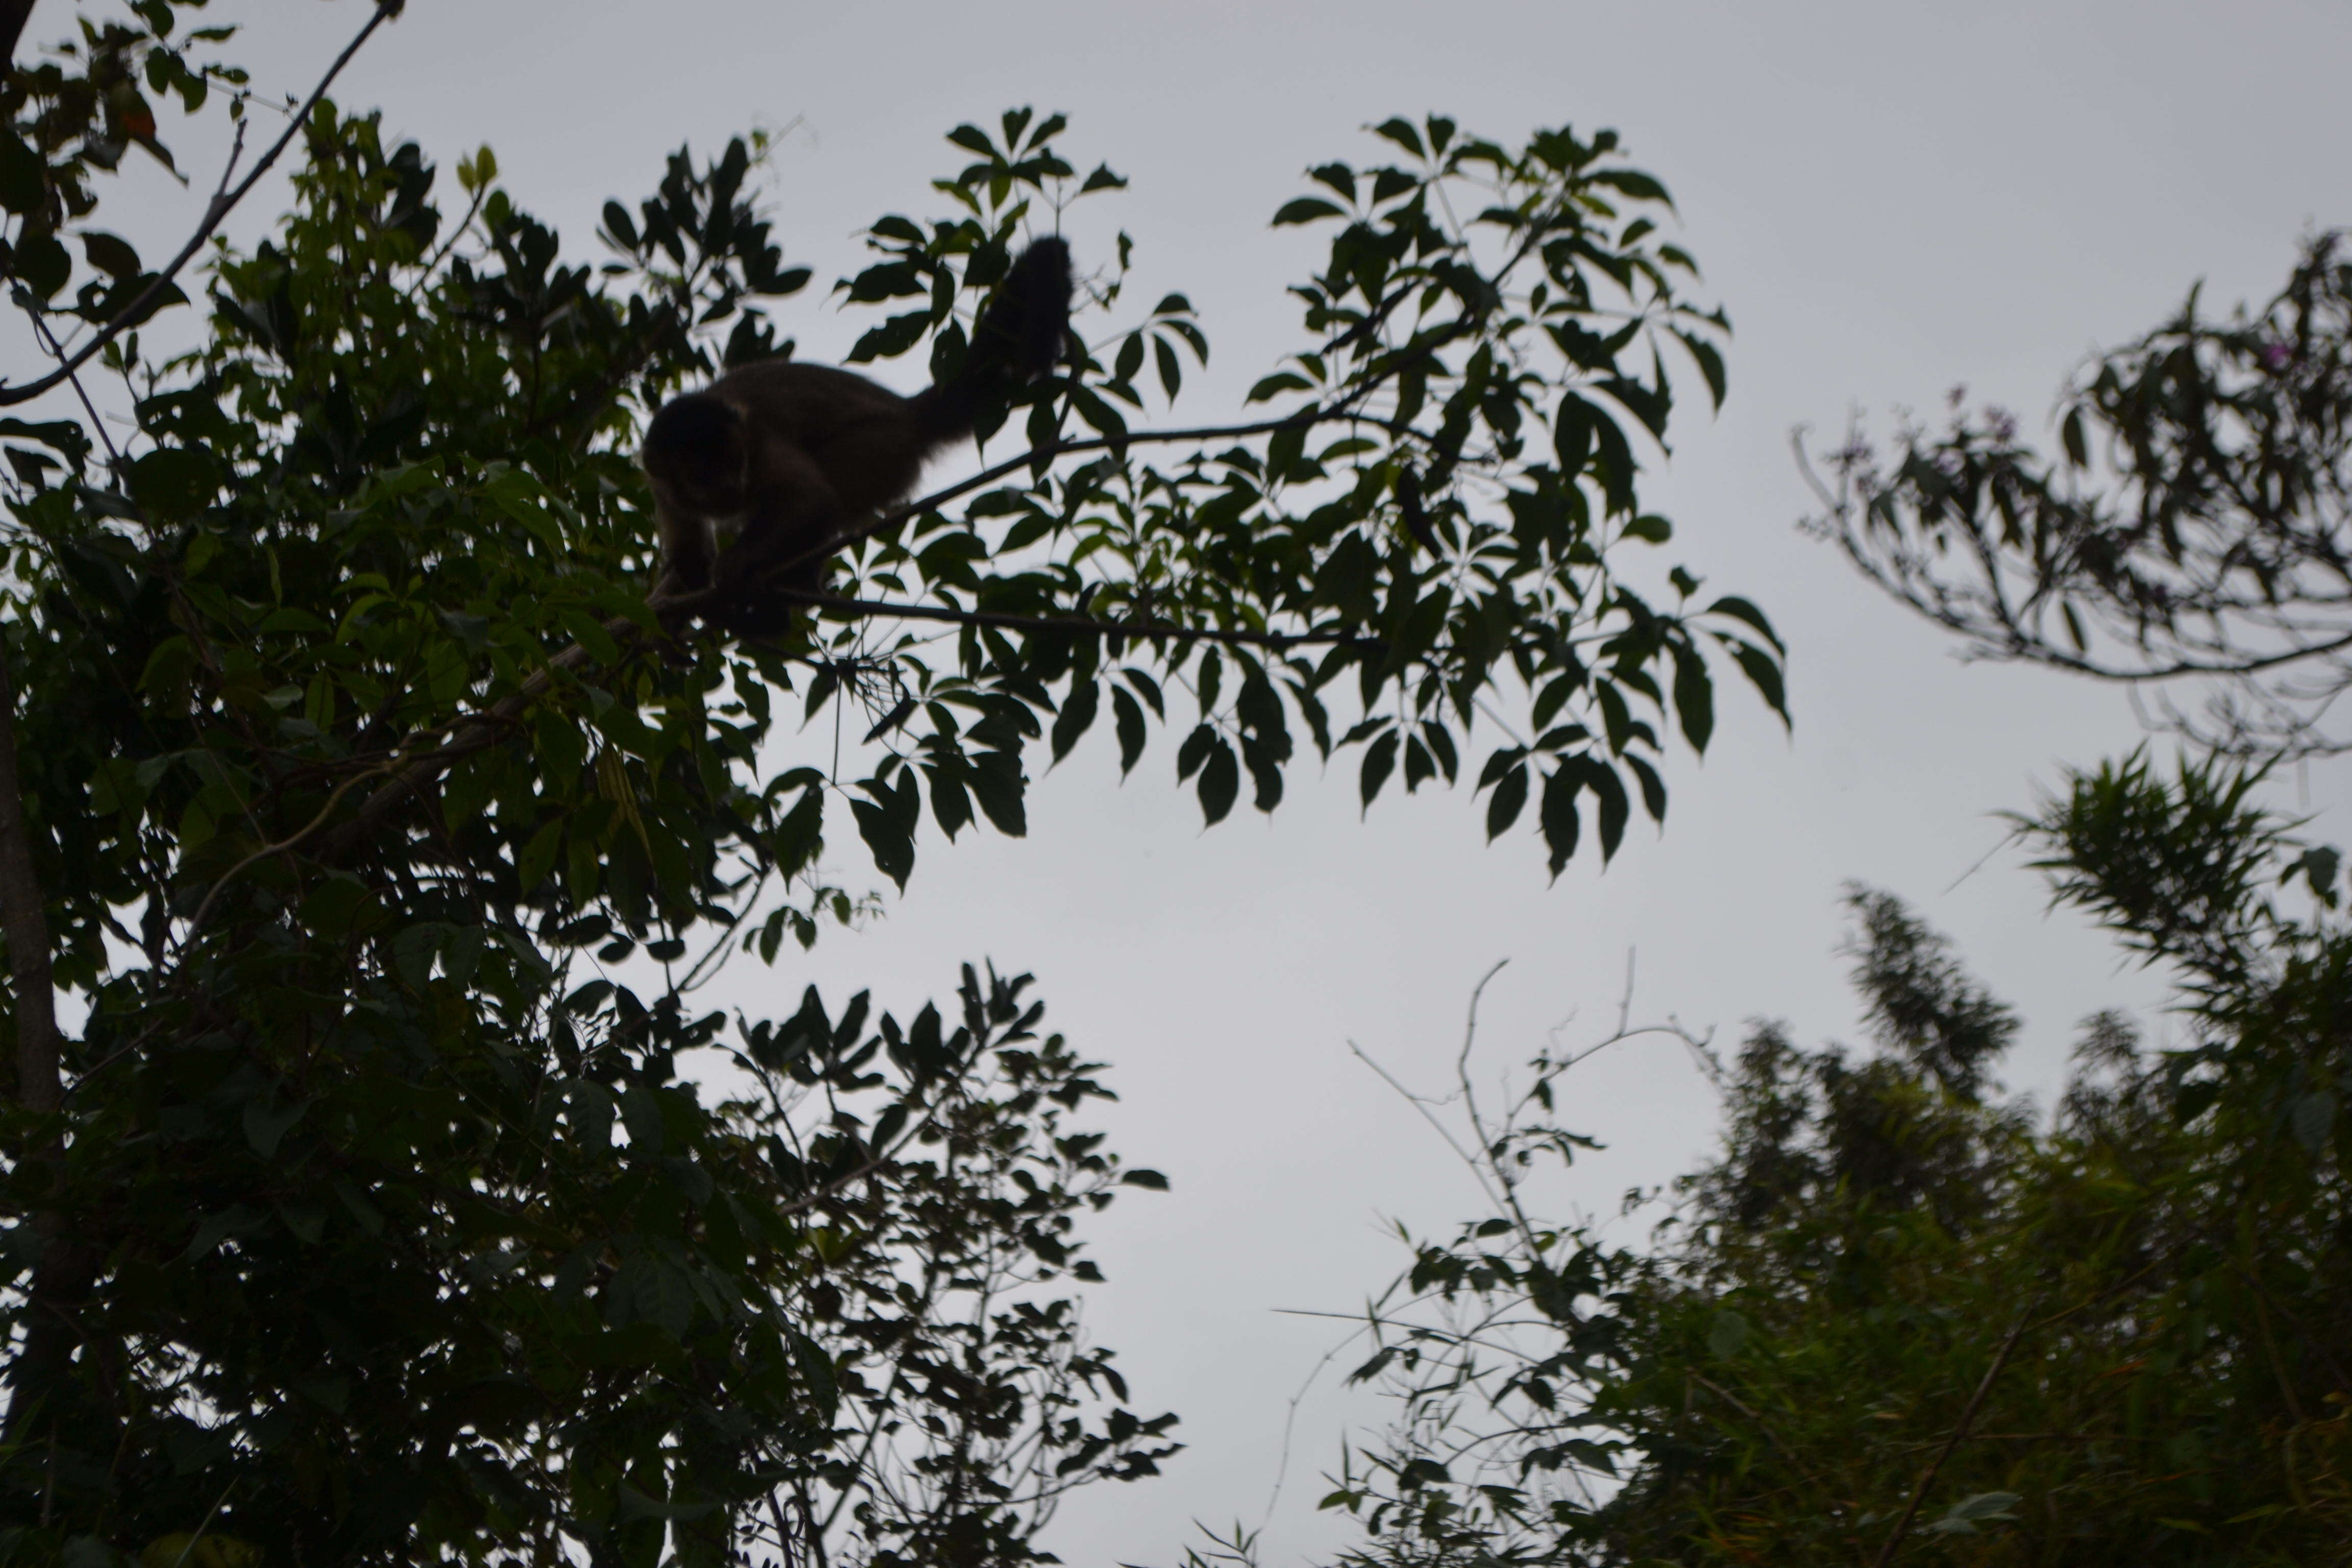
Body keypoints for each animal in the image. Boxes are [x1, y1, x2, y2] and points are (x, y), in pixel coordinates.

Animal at [649, 235, 1077, 639]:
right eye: (702, 475)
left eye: (735, 462)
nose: (731, 486)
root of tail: (905, 411)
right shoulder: (663, 487)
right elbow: (689, 555)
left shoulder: (760, 442)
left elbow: (810, 497)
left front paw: (736, 563)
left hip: (882, 447)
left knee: (827, 497)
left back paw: (785, 601)